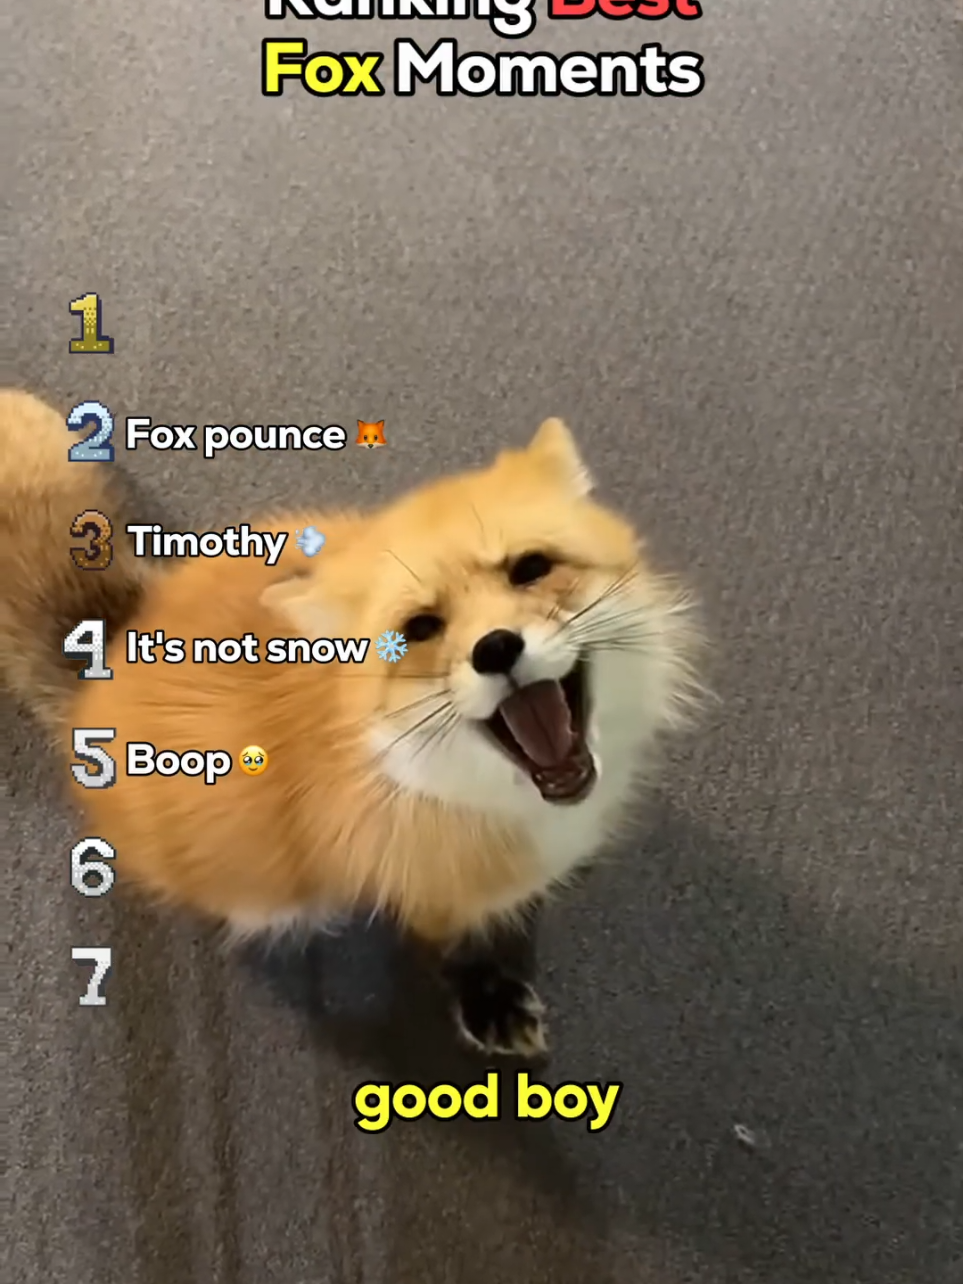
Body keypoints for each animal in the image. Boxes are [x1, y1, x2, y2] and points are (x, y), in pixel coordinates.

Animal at [1, 389, 700, 1056]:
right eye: (421, 628)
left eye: (530, 567)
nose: (496, 648)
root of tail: (117, 642)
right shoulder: (424, 885)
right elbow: (456, 945)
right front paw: (488, 998)